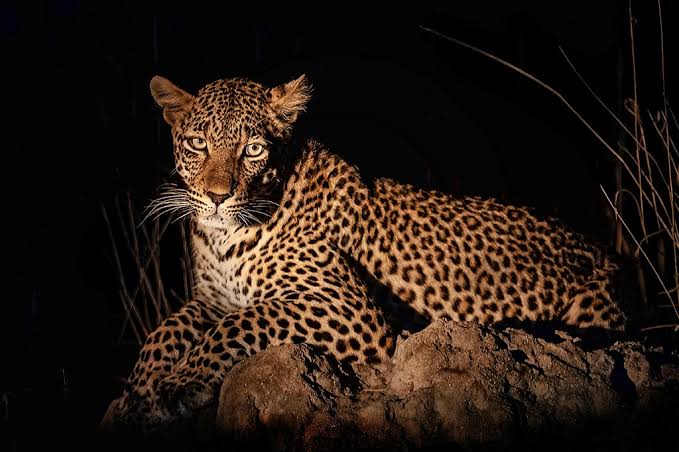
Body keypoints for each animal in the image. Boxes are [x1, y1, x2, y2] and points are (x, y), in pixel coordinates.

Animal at [100, 74, 626, 431]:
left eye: (252, 149)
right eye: (196, 143)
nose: (216, 196)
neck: (225, 238)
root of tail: (609, 256)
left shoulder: (347, 308)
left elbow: (240, 324)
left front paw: (178, 386)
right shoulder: (213, 297)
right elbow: (165, 331)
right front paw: (133, 396)